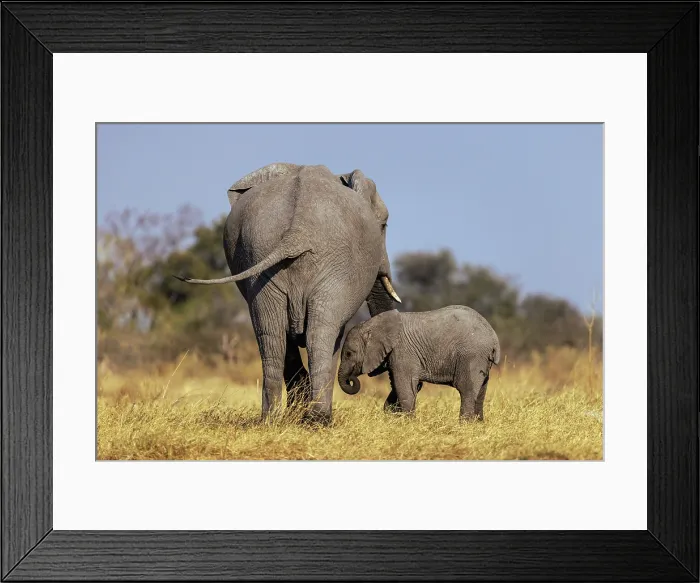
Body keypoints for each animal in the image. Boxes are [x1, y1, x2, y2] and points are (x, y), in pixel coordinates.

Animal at [175, 163, 401, 424]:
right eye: (383, 226)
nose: (392, 407)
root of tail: (296, 231)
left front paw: (296, 411)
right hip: (330, 267)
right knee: (319, 335)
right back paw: (319, 419)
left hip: (259, 258)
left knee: (270, 335)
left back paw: (270, 420)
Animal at [337, 306, 500, 421]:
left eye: (349, 354)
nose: (351, 379)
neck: (372, 324)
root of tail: (493, 337)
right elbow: (397, 386)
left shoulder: (403, 352)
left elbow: (405, 387)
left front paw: (408, 423)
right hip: (481, 360)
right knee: (480, 392)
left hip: (471, 356)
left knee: (467, 391)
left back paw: (464, 426)